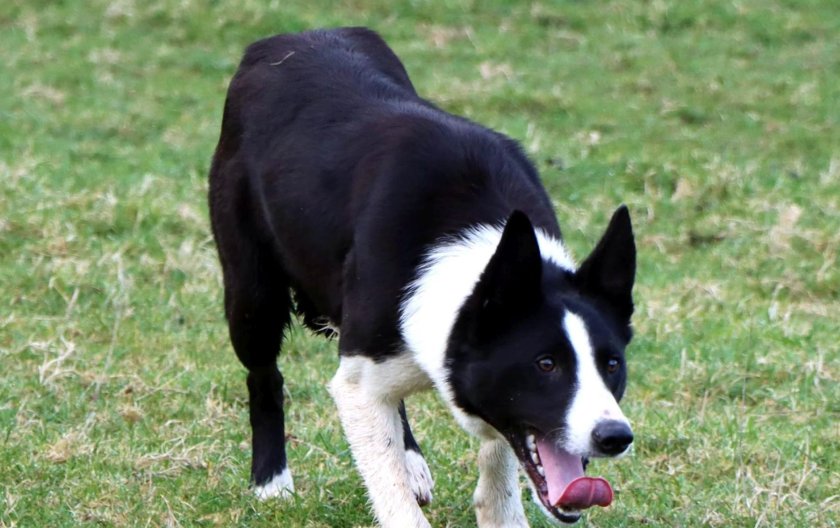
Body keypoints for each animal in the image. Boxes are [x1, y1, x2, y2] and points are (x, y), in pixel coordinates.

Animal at [210, 28, 636, 528]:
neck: (474, 237)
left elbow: (498, 447)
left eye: (612, 364)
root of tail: (283, 41)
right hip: (252, 296)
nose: (614, 436)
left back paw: (409, 460)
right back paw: (272, 482)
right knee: (265, 376)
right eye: (545, 364)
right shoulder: (358, 378)